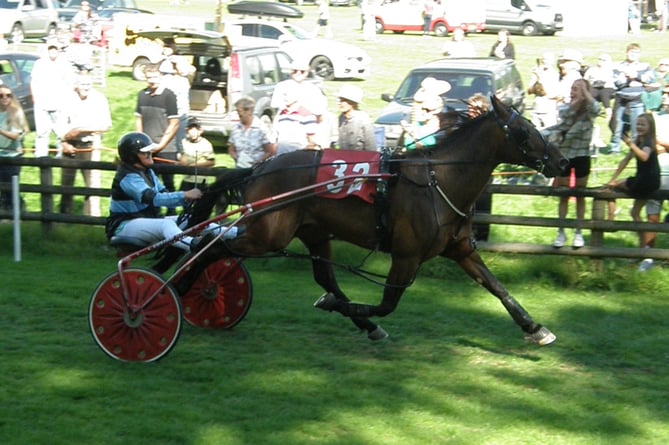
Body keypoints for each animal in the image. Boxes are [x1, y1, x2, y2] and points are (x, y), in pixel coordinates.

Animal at [175, 95, 568, 346]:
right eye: (524, 131)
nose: (562, 162)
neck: (440, 181)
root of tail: (258, 168)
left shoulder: (460, 249)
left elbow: (496, 287)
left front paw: (534, 327)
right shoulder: (406, 256)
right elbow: (387, 304)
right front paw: (338, 307)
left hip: (313, 233)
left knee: (325, 277)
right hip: (267, 234)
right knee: (209, 246)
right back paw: (179, 289)